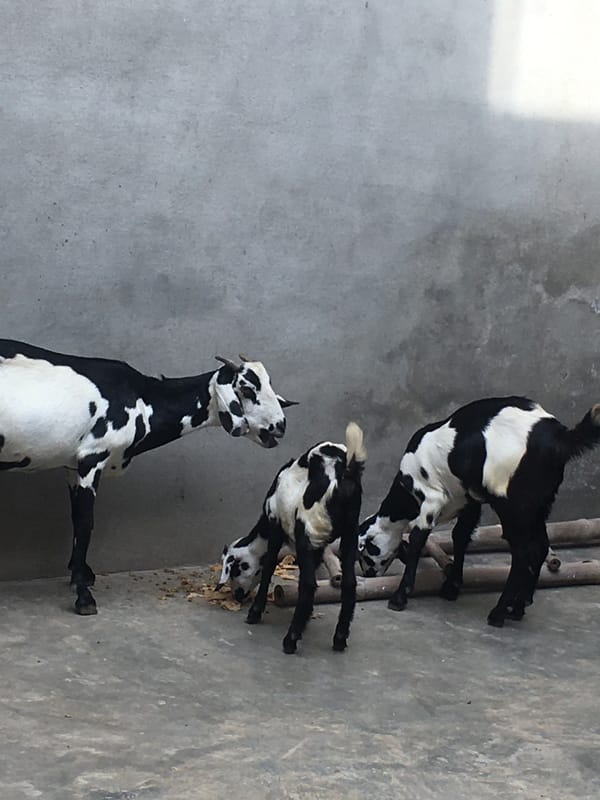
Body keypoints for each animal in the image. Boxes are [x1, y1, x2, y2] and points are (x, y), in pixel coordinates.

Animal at [0, 341, 296, 615]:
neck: (140, 397)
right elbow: (85, 523)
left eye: (269, 386)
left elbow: (75, 518)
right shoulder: (92, 458)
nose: (279, 426)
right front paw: (84, 597)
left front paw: (80, 574)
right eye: (246, 388)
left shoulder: (73, 466)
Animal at [238, 423, 366, 653]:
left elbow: (269, 566)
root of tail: (344, 477)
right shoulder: (320, 546)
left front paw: (255, 612)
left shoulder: (276, 527)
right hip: (350, 534)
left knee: (308, 584)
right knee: (349, 584)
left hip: (307, 532)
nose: (237, 595)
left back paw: (290, 640)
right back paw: (339, 638)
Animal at [358, 396, 600, 627]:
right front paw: (452, 587)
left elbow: (418, 539)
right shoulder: (469, 502)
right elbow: (460, 537)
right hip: (538, 506)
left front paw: (400, 597)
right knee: (540, 547)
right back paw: (518, 607)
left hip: (512, 507)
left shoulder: (431, 499)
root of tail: (560, 438)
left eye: (366, 552)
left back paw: (499, 612)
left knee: (523, 554)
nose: (368, 575)